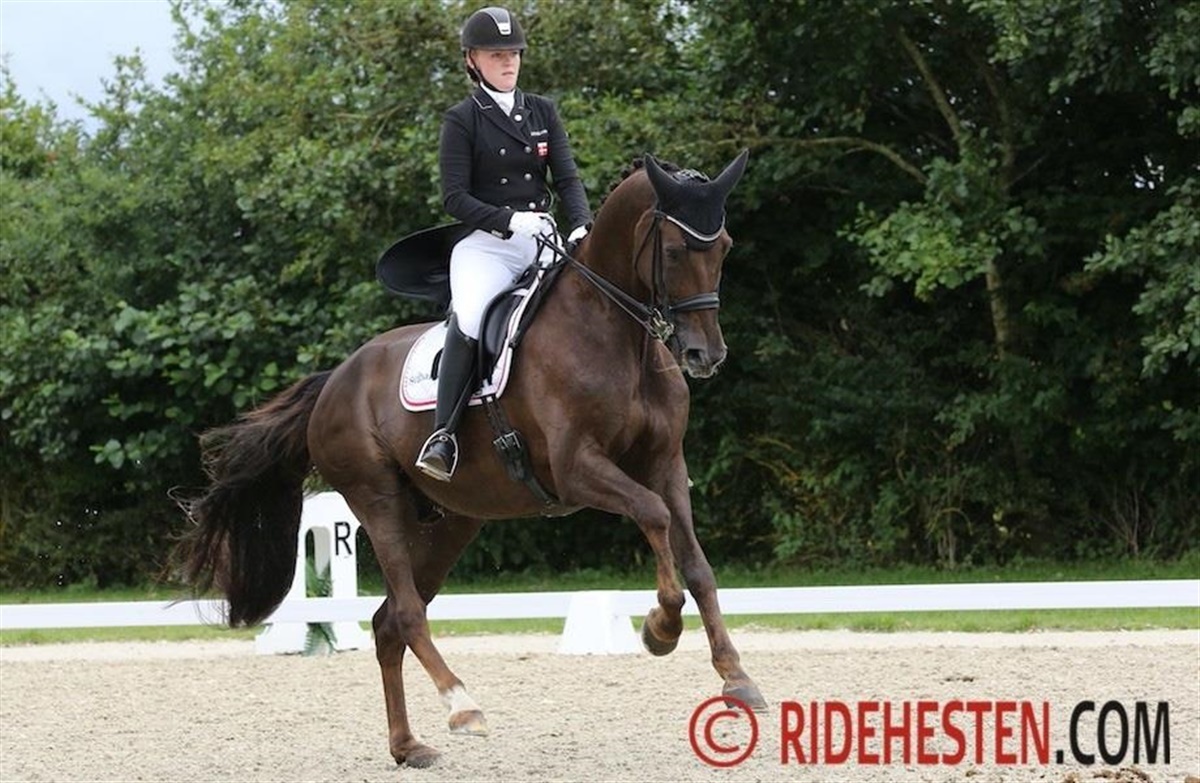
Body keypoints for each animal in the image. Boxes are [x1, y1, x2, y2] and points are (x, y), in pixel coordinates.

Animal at [173, 149, 765, 768]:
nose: (704, 355)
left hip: (452, 521)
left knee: (388, 621)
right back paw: (462, 706)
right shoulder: (577, 468)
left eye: (724, 247)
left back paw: (409, 746)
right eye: (673, 251)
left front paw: (736, 677)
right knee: (407, 613)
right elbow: (653, 514)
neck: (614, 333)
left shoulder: (666, 463)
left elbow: (695, 562)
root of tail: (334, 380)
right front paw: (659, 629)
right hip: (377, 500)